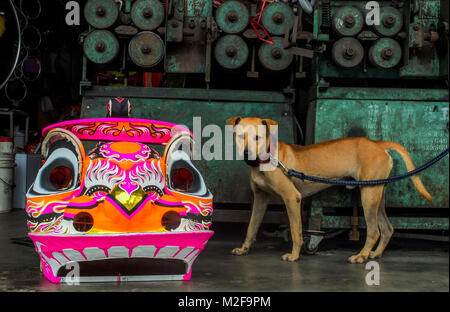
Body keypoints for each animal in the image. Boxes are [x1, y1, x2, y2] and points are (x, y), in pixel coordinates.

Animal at [227, 117, 430, 264]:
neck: (267, 158)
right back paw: (374, 254)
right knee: (387, 228)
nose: (247, 154)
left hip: (368, 196)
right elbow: (251, 227)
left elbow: (295, 230)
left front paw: (294, 255)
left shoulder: (292, 198)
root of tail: (377, 143)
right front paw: (244, 249)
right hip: (377, 194)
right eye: (240, 137)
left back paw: (361, 256)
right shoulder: (260, 198)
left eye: (258, 138)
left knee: (374, 230)